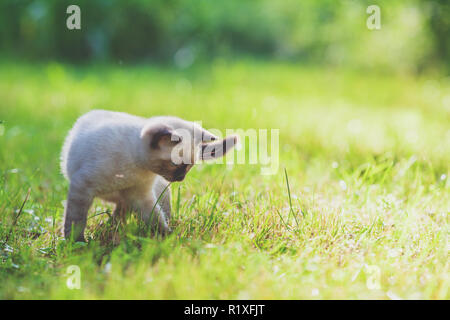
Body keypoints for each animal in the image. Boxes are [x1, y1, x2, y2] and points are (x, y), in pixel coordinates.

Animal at [61, 109, 237, 240]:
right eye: (176, 165)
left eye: (189, 167)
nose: (181, 178)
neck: (135, 168)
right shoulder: (82, 187)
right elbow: (76, 220)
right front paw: (77, 243)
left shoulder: (139, 195)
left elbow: (155, 218)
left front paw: (167, 237)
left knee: (130, 210)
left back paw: (112, 227)